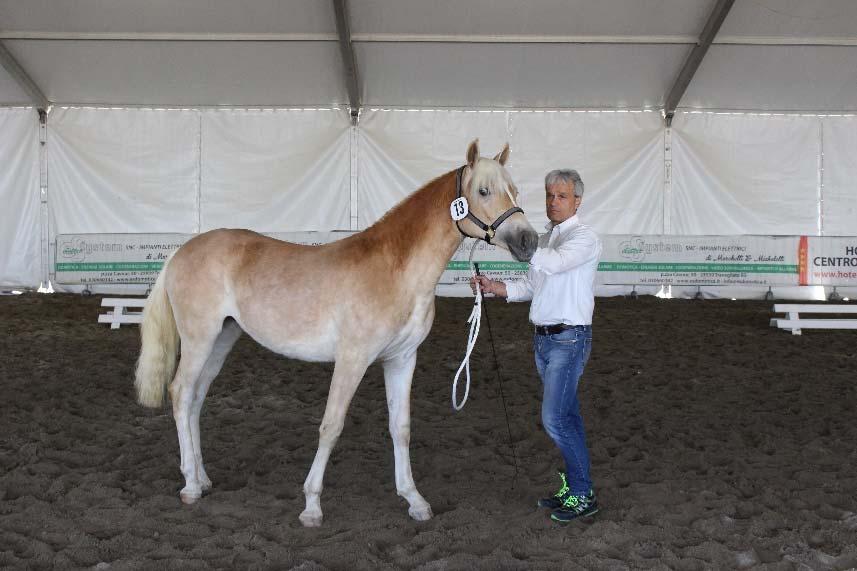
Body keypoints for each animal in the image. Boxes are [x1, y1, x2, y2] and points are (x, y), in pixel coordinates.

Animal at [134, 139, 536, 528]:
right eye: (484, 191)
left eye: (515, 190)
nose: (528, 240)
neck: (395, 271)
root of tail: (181, 252)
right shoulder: (352, 359)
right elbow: (331, 425)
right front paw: (311, 506)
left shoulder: (402, 359)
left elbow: (401, 427)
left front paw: (414, 500)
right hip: (199, 339)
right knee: (181, 393)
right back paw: (189, 485)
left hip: (221, 339)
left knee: (196, 399)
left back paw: (202, 478)